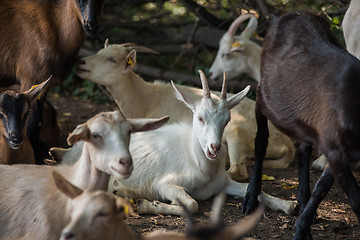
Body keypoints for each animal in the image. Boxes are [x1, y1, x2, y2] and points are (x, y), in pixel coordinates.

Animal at [74, 39, 296, 182]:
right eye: (100, 53)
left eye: (111, 59)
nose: (81, 63)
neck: (148, 98)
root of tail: (288, 144)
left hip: (237, 134)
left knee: (238, 170)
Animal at [109, 70, 298, 215]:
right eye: (200, 118)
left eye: (227, 120)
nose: (214, 147)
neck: (198, 163)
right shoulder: (164, 184)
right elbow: (192, 204)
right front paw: (146, 204)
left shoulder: (223, 183)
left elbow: (249, 188)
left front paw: (288, 204)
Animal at [240, 10, 360, 239]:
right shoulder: (336, 146)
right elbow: (355, 200)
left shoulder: (337, 149)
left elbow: (322, 186)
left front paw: (303, 225)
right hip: (263, 94)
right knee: (261, 141)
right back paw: (250, 197)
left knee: (303, 147)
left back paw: (302, 200)